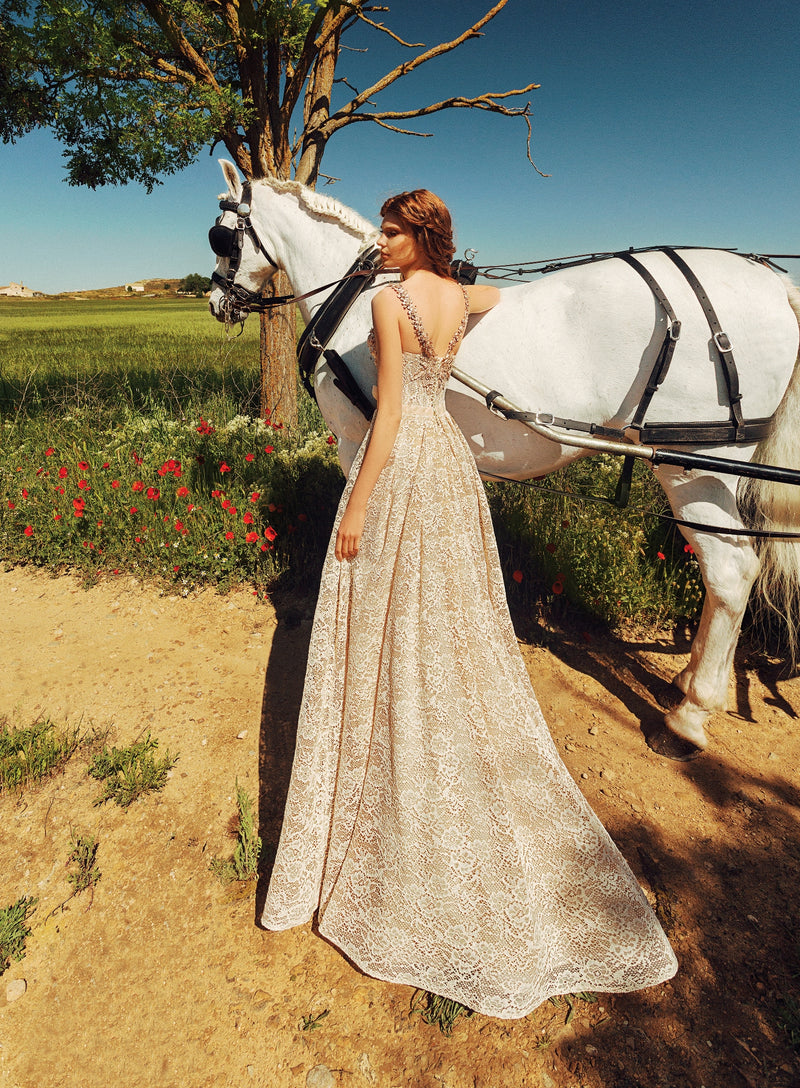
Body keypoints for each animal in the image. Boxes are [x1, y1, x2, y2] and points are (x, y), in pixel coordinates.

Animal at [210, 161, 800, 757]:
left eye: (221, 234)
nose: (216, 301)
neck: (354, 297)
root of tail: (774, 282)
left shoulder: (359, 440)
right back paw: (693, 680)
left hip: (693, 463)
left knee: (730, 573)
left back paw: (691, 714)